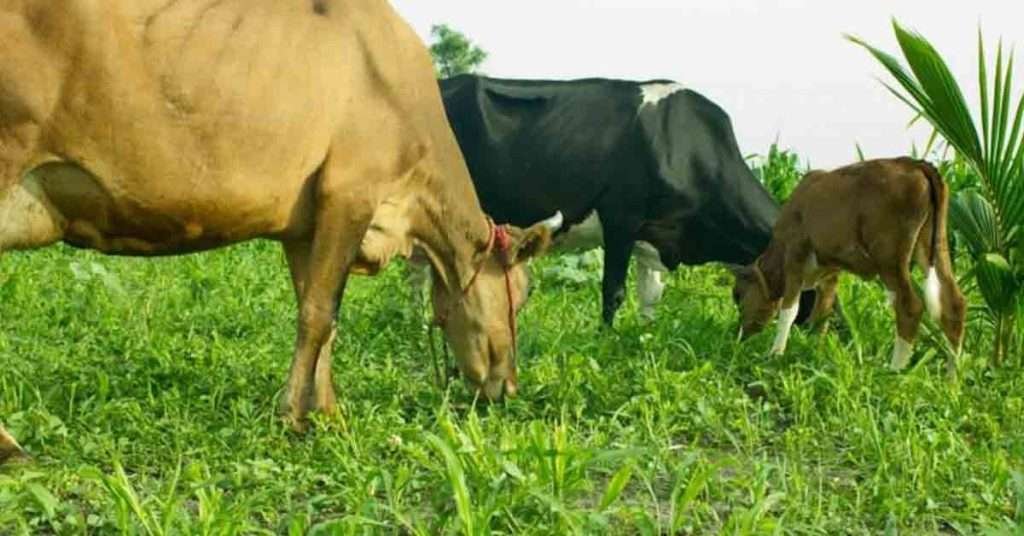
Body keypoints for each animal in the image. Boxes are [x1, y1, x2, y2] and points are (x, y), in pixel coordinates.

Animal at [0, 0, 560, 463]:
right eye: (524, 291)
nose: (508, 388)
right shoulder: (351, 191)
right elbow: (319, 315)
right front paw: (293, 417)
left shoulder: (305, 224)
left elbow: (320, 315)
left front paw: (329, 414)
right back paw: (10, 447)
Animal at [418, 74, 818, 326]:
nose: (819, 332)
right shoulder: (621, 220)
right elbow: (614, 291)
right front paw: (605, 338)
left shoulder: (655, 236)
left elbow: (650, 295)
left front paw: (643, 337)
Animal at [730, 158, 966, 377]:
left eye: (737, 295)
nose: (740, 335)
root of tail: (913, 163)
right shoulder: (830, 272)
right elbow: (821, 316)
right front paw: (812, 354)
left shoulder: (796, 254)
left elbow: (790, 310)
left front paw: (775, 354)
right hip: (934, 243)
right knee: (953, 303)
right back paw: (951, 379)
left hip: (890, 257)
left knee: (909, 306)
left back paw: (894, 370)